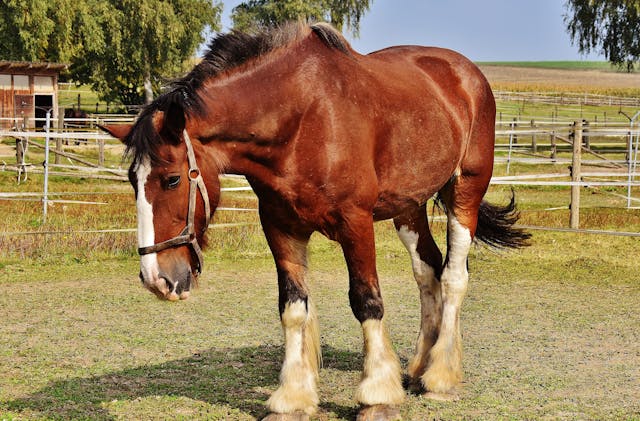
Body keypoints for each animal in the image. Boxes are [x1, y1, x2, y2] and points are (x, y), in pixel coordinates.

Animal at [102, 22, 530, 421]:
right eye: (133, 181)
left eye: (172, 179)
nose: (156, 279)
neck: (301, 120)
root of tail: (466, 73)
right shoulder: (280, 226)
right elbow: (293, 308)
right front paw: (292, 398)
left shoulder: (355, 223)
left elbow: (367, 301)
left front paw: (377, 395)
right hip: (408, 207)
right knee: (428, 270)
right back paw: (419, 367)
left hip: (465, 192)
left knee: (454, 277)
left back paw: (440, 376)